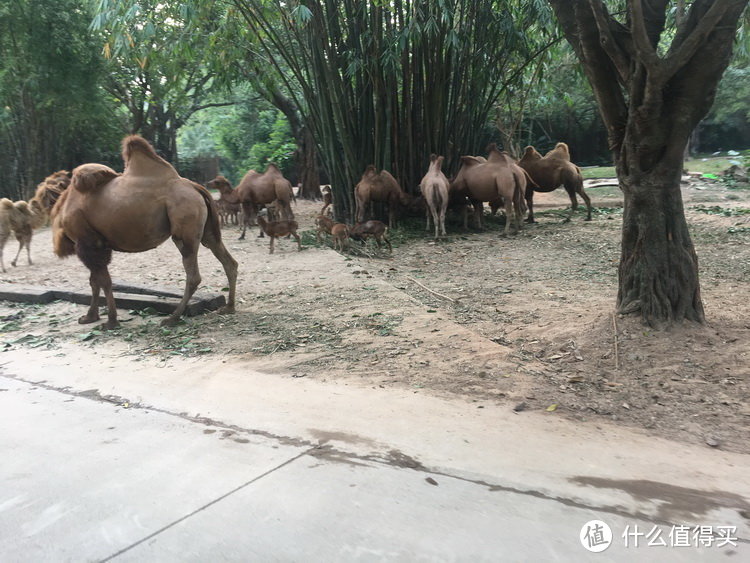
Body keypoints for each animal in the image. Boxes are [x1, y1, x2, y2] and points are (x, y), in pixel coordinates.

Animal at [51, 136, 238, 328]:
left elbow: (103, 282)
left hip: (185, 226)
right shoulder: (95, 245)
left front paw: (110, 321)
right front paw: (90, 317)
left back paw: (172, 318)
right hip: (207, 230)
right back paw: (229, 307)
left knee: (194, 275)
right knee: (228, 261)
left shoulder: (88, 242)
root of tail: (196, 188)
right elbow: (94, 281)